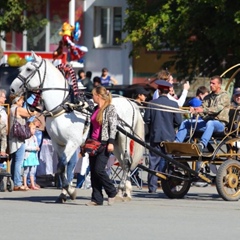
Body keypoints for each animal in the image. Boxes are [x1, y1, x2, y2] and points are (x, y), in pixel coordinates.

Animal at [9, 51, 144, 202]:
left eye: (29, 69)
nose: (12, 89)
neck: (64, 107)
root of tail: (130, 102)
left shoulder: (72, 142)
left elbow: (62, 166)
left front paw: (71, 191)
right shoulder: (58, 143)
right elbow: (62, 167)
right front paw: (64, 193)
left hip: (124, 138)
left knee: (126, 162)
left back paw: (122, 190)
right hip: (113, 143)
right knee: (122, 162)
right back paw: (124, 190)